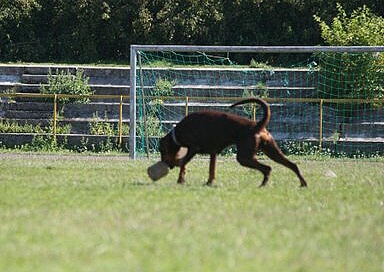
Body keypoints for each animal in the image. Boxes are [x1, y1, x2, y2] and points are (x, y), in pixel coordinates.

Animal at [158, 98, 306, 187]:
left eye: (162, 150)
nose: (165, 164)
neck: (177, 132)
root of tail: (257, 125)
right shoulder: (213, 153)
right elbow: (211, 170)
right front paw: (209, 183)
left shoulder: (193, 148)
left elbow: (183, 162)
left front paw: (180, 180)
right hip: (271, 150)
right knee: (292, 165)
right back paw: (303, 183)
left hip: (244, 157)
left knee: (267, 168)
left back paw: (262, 185)